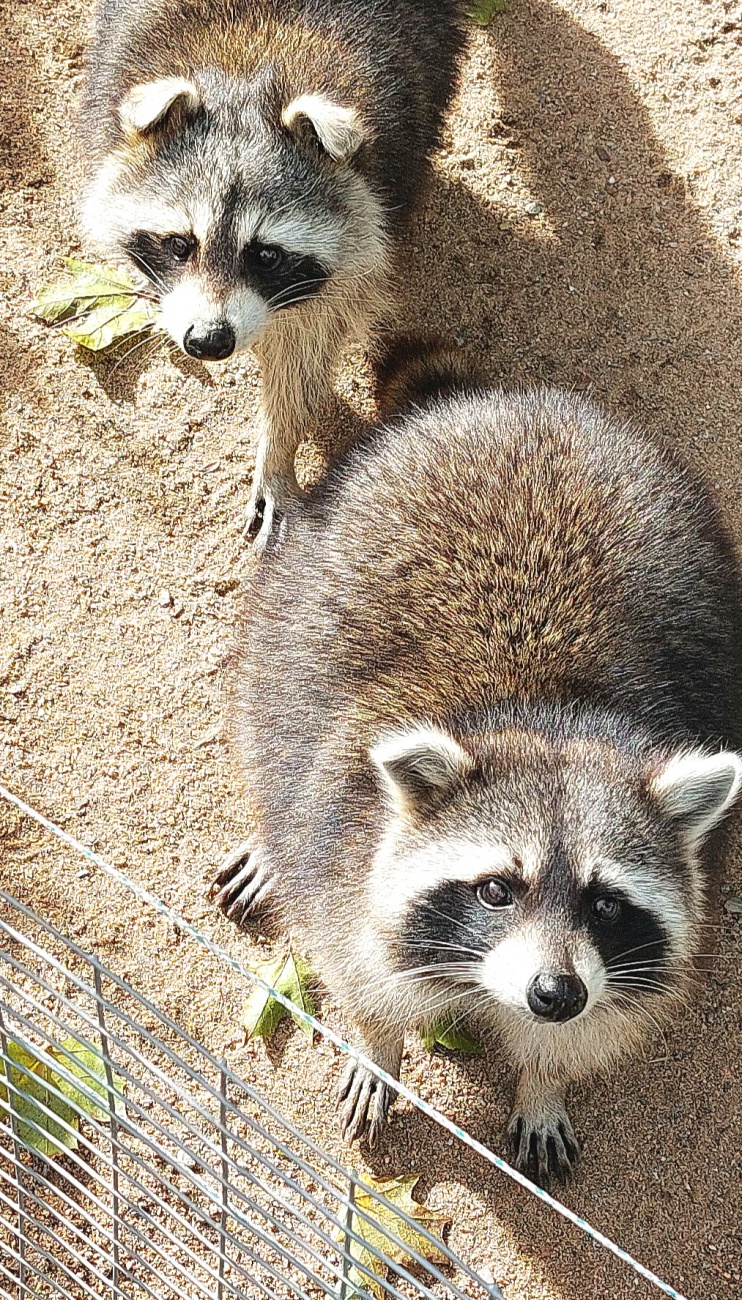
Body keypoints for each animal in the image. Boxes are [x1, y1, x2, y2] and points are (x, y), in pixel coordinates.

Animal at [78, 1, 467, 548]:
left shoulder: (374, 204)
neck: (248, 70)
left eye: (265, 256)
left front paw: (279, 447)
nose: (208, 341)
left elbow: (306, 342)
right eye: (180, 244)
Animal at [210, 348, 742, 1190]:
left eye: (606, 903)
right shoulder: (346, 850)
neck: (546, 715)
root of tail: (501, 403)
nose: (555, 994)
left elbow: (584, 1033)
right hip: (296, 599)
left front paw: (544, 1080)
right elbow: (361, 969)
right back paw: (271, 835)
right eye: (497, 889)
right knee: (273, 725)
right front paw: (379, 1045)